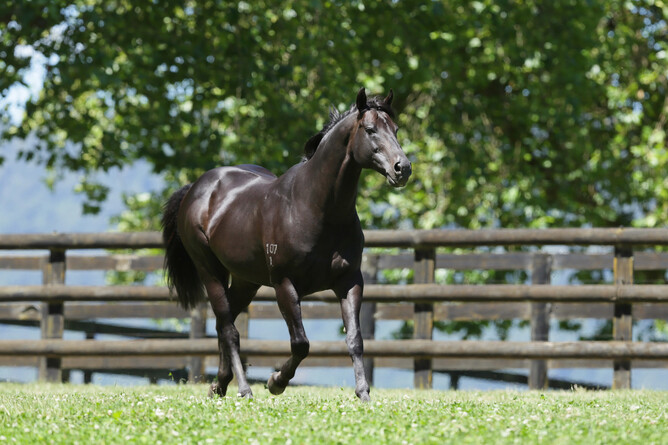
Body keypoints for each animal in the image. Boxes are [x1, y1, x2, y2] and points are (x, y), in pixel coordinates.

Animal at [161, 88, 411, 401]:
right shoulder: (284, 284)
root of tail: (196, 188)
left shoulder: (350, 281)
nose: (402, 168)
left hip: (246, 280)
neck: (315, 207)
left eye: (396, 129)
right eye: (370, 129)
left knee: (224, 323)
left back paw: (220, 385)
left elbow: (355, 339)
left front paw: (364, 394)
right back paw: (244, 389)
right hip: (210, 272)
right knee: (229, 329)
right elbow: (300, 342)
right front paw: (275, 382)